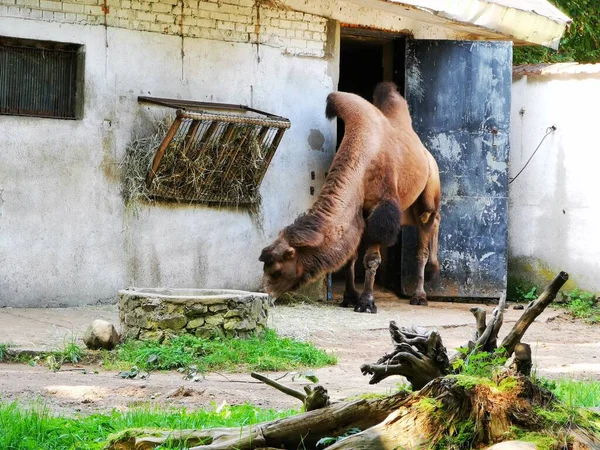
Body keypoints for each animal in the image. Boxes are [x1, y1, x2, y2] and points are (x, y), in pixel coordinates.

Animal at [258, 81, 440, 312]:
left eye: (276, 271)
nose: (264, 294)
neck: (363, 161)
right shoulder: (357, 213)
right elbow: (350, 256)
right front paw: (349, 297)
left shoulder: (381, 210)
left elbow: (371, 259)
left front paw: (366, 302)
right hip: (407, 206)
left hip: (430, 185)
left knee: (428, 225)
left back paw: (420, 294)